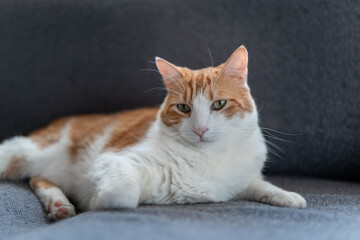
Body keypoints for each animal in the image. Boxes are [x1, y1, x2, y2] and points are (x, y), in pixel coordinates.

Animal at [0, 46, 306, 220]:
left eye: (218, 104)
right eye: (183, 108)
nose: (201, 129)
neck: (208, 158)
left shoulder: (241, 180)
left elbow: (261, 186)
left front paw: (288, 196)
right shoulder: (114, 160)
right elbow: (123, 194)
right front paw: (97, 202)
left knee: (40, 179)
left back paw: (59, 205)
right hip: (27, 152)